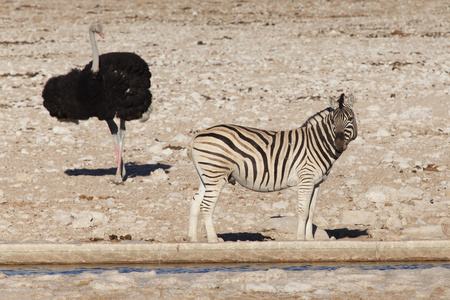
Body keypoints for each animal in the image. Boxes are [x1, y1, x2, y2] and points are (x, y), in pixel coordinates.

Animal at [188, 92, 356, 243]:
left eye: (350, 119)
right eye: (333, 121)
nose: (339, 144)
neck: (316, 143)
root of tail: (197, 135)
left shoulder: (316, 183)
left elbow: (311, 211)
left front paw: (310, 239)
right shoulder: (305, 179)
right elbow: (303, 211)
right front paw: (300, 238)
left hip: (206, 176)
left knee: (196, 202)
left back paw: (193, 239)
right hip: (215, 173)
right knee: (206, 206)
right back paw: (213, 240)